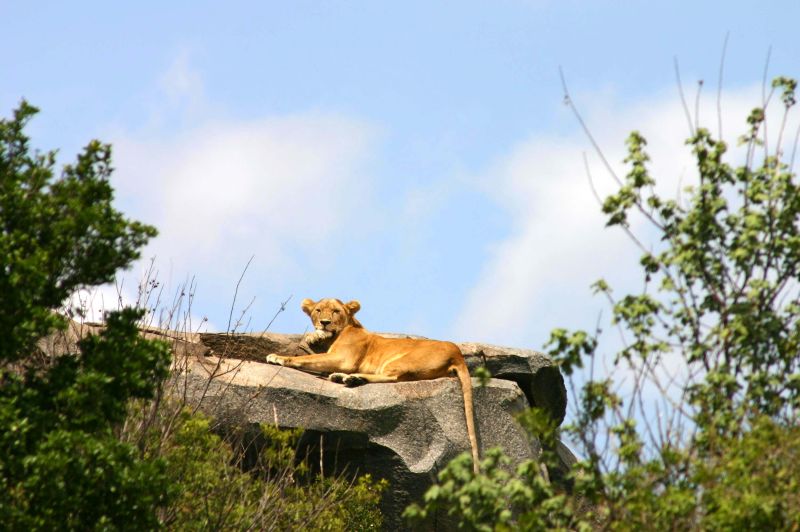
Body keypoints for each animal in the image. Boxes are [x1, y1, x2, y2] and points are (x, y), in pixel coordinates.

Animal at [265, 297, 480, 473]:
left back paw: (351, 378)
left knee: (392, 377)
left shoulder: (344, 359)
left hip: (399, 360)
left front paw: (278, 357)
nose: (324, 323)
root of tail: (458, 353)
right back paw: (344, 378)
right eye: (318, 310)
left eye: (335, 311)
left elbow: (305, 358)